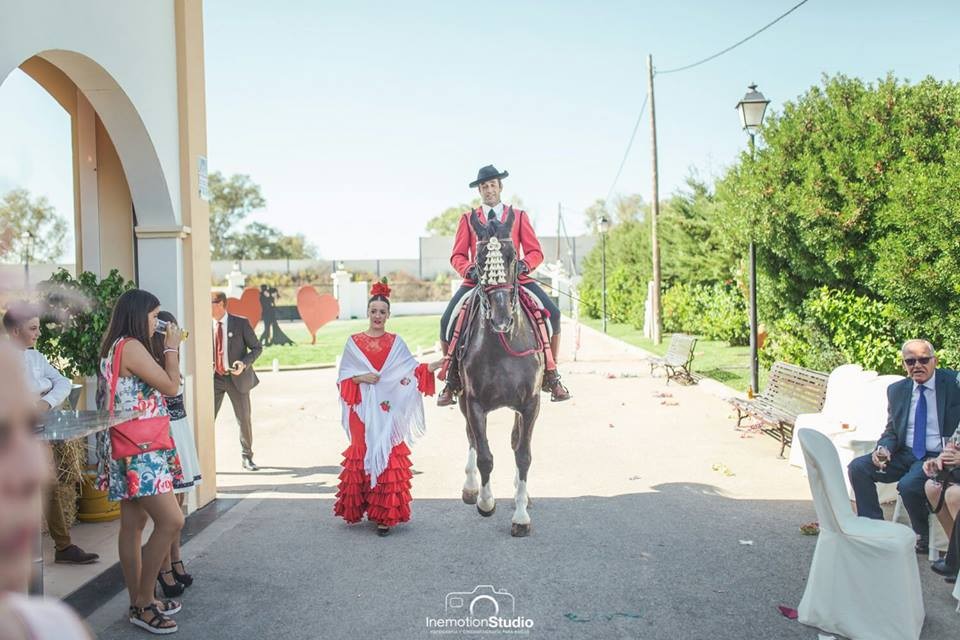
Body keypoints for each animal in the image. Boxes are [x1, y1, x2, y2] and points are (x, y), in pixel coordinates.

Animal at [460, 209, 548, 536]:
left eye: (512, 257)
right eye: (479, 259)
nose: (501, 319)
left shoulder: (530, 403)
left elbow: (523, 454)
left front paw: (521, 515)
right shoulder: (473, 402)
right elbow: (484, 454)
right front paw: (486, 501)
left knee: (514, 440)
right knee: (471, 438)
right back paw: (471, 488)